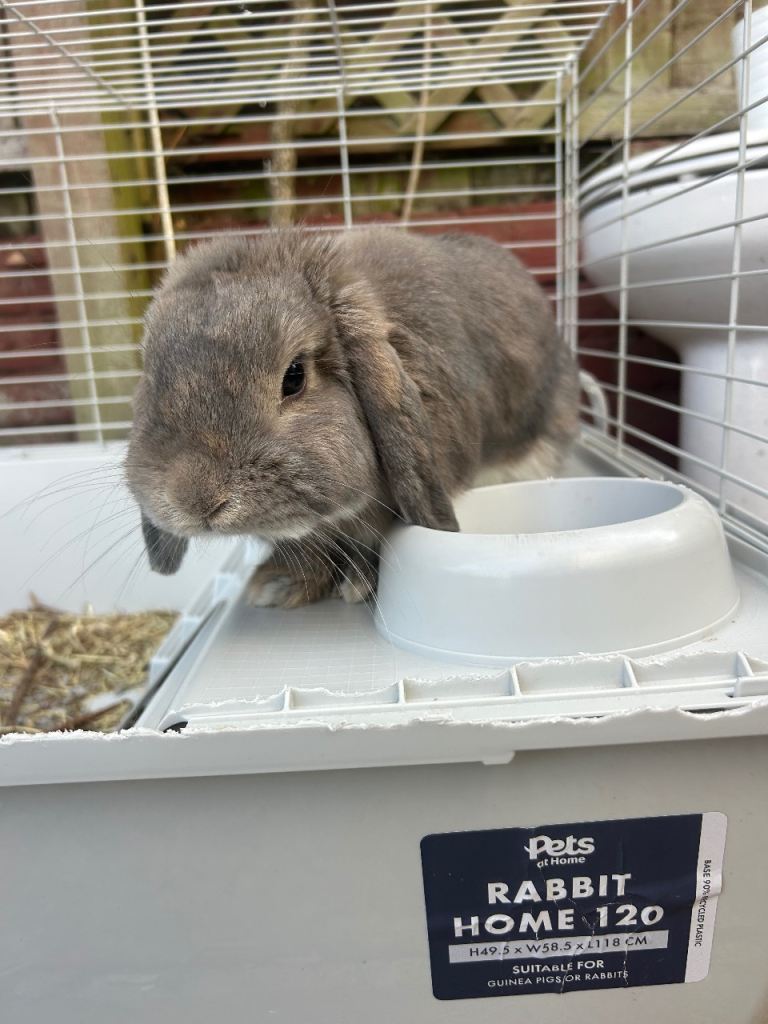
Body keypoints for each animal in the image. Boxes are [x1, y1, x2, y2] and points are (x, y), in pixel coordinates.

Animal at [125, 228, 580, 608]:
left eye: (294, 377)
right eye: (152, 375)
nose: (195, 501)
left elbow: (372, 541)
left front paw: (358, 583)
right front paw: (279, 584)